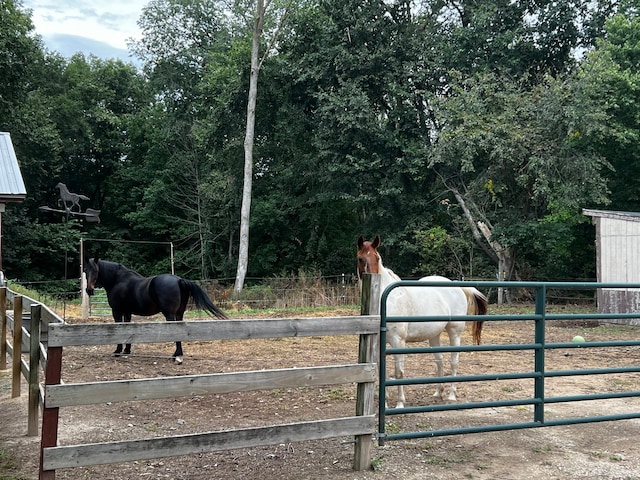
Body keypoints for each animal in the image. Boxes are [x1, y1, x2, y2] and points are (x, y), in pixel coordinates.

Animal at [84, 258, 226, 364]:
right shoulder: (127, 312)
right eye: (85, 270)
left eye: (96, 270)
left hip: (170, 315)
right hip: (179, 314)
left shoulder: (117, 311)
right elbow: (127, 329)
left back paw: (176, 355)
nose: (89, 290)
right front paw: (126, 351)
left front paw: (117, 351)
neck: (117, 281)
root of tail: (179, 280)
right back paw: (178, 354)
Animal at [358, 234, 488, 406]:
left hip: (455, 332)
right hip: (434, 335)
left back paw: (451, 395)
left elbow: (399, 372)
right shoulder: (379, 343)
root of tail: (455, 285)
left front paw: (400, 403)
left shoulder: (398, 341)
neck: (387, 301)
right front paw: (384, 403)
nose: (374, 283)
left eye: (377, 258)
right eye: (360, 258)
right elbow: (381, 372)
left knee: (454, 361)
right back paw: (438, 393)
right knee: (439, 361)